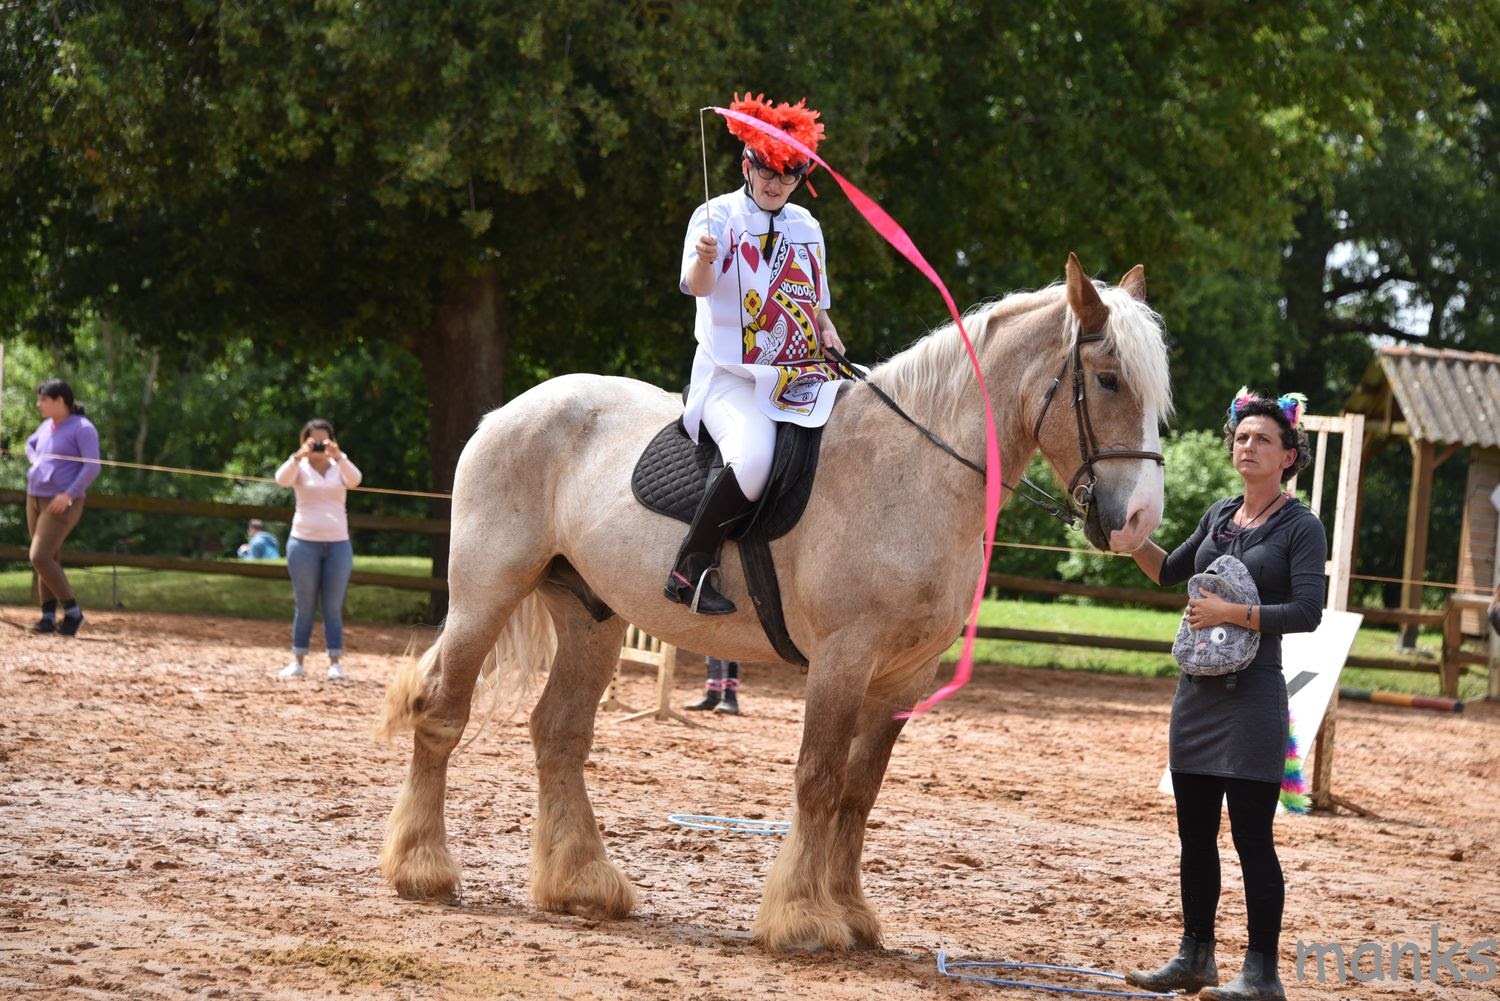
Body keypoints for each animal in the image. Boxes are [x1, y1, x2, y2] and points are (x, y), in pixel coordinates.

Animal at [375, 253, 1174, 952]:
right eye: (1107, 379)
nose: (1139, 521)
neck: (914, 468)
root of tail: (507, 413)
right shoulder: (844, 658)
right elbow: (818, 779)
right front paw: (803, 920)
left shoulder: (902, 677)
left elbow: (859, 791)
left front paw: (853, 914)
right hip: (487, 594)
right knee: (443, 711)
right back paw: (423, 868)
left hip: (590, 617)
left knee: (560, 734)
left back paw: (583, 883)